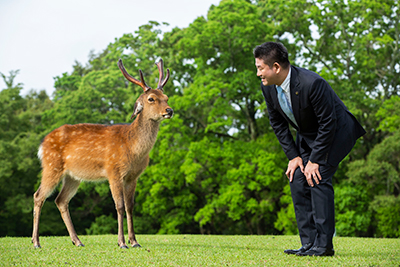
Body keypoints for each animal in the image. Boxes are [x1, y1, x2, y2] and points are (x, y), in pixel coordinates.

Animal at [32, 58, 173, 249]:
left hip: (73, 176)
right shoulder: (114, 171)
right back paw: (36, 242)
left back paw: (77, 241)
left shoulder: (133, 177)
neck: (133, 149)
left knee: (61, 200)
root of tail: (42, 143)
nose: (169, 111)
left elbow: (130, 206)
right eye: (151, 98)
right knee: (38, 196)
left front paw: (135, 241)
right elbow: (119, 206)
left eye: (166, 98)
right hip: (51, 166)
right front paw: (122, 243)